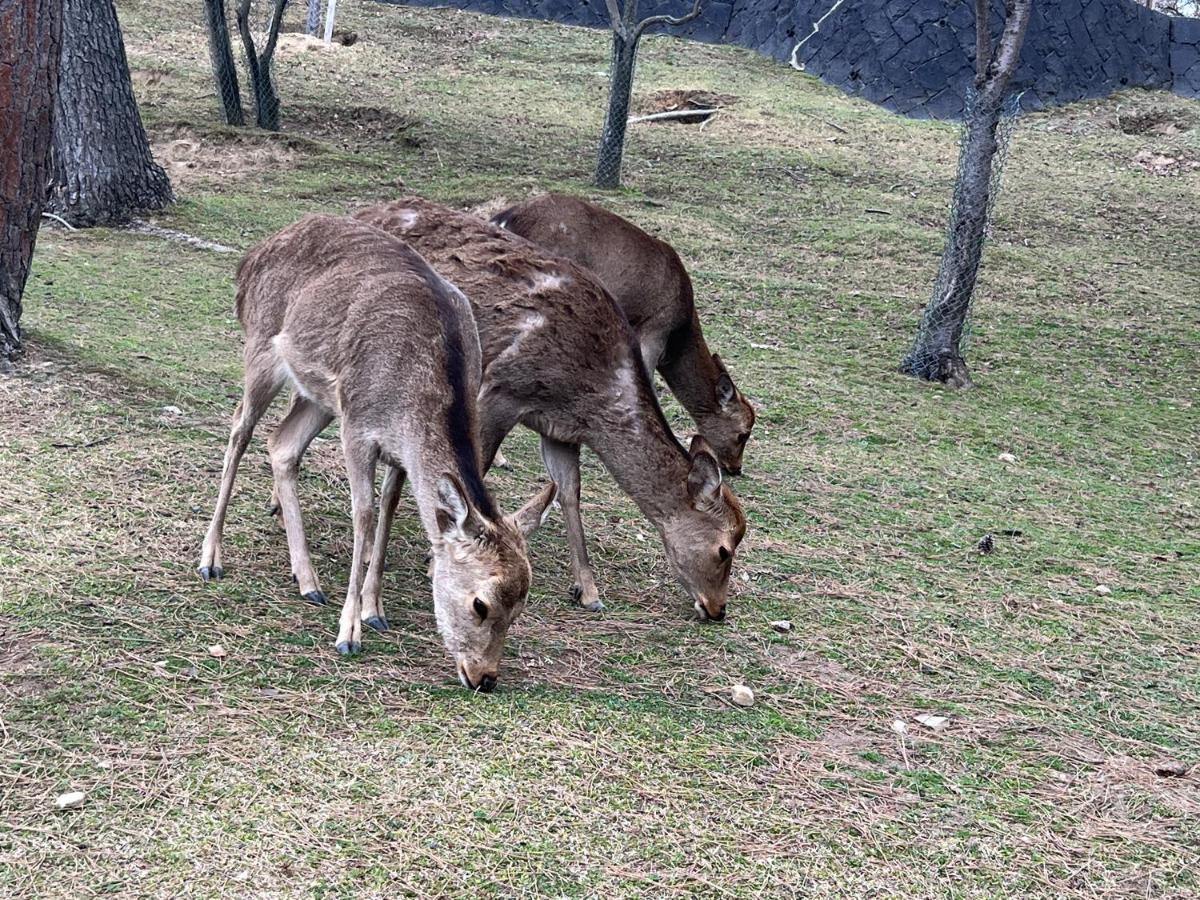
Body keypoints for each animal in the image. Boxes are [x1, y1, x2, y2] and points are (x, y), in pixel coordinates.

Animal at [195, 214, 552, 696]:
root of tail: (252, 256)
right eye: (481, 603)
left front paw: (374, 609)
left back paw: (307, 580)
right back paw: (210, 559)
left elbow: (389, 508)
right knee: (240, 430)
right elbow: (363, 513)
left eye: (519, 608)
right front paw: (349, 633)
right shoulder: (359, 430)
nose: (485, 678)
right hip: (262, 350)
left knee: (282, 445)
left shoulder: (398, 450)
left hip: (321, 396)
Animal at [489, 194, 753, 475]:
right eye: (743, 433)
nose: (735, 468)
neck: (678, 336)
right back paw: (501, 458)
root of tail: (504, 218)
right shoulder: (653, 330)